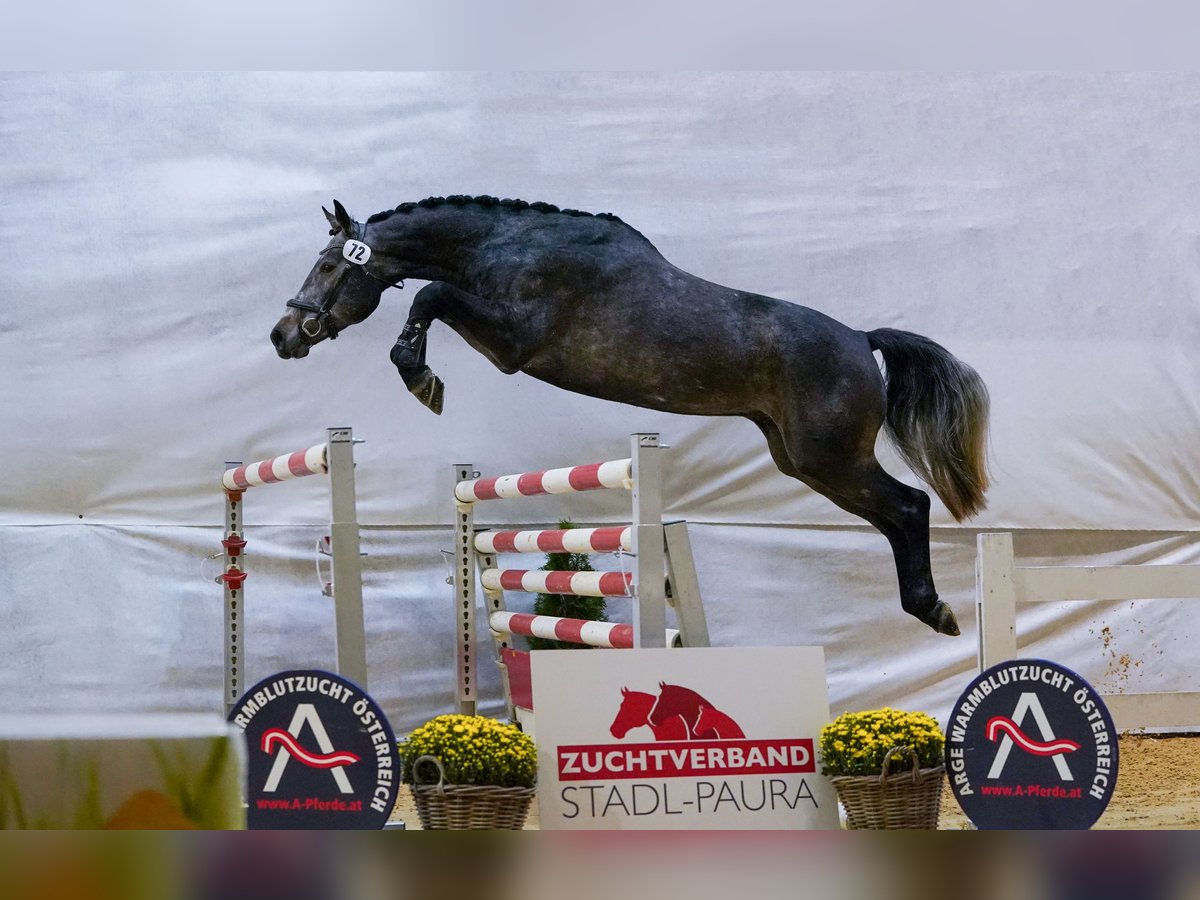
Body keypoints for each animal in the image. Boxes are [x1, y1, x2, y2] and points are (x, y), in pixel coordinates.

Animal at [276, 194, 988, 638]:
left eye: (328, 264)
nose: (284, 336)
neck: (510, 247)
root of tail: (861, 340)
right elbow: (432, 294)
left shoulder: (512, 340)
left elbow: (430, 293)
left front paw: (421, 378)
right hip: (805, 462)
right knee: (893, 516)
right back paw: (931, 607)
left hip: (830, 457)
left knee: (909, 507)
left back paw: (935, 610)